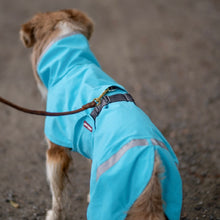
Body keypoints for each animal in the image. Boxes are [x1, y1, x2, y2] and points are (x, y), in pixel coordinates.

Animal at [19, 9, 182, 220]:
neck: (72, 65)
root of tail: (152, 164)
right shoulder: (93, 147)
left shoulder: (56, 151)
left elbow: (57, 194)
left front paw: (54, 214)